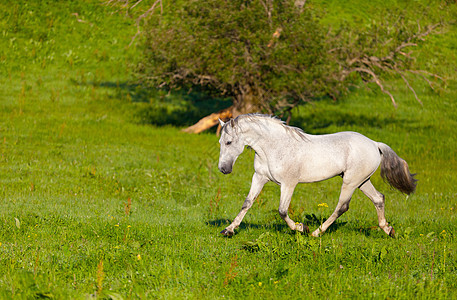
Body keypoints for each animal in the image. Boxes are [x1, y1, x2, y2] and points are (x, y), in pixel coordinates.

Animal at [216, 113, 416, 238]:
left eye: (229, 142)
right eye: (220, 142)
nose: (223, 169)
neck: (275, 146)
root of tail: (374, 144)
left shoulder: (288, 183)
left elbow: (282, 211)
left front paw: (301, 228)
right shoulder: (259, 177)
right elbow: (247, 203)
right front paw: (229, 230)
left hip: (351, 182)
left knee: (342, 207)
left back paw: (316, 232)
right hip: (362, 181)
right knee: (378, 199)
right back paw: (388, 230)